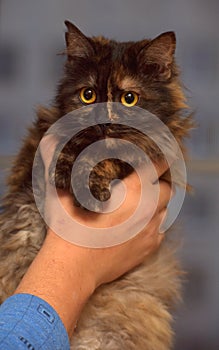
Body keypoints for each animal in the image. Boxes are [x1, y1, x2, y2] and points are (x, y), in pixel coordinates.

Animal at [0, 22, 192, 350]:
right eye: (88, 95)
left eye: (129, 99)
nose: (103, 119)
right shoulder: (35, 151)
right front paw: (65, 170)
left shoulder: (155, 154)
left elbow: (115, 156)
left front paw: (89, 184)